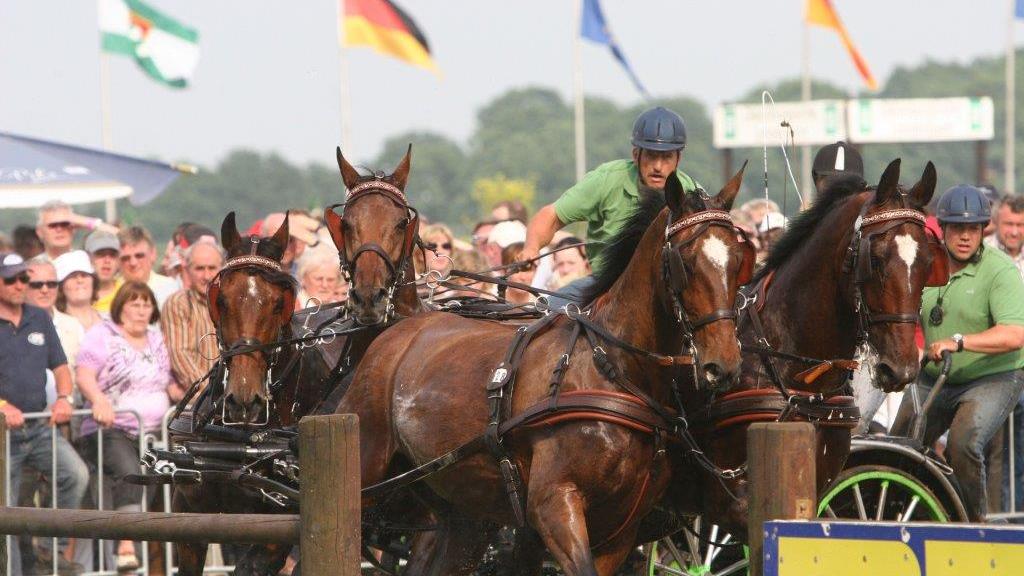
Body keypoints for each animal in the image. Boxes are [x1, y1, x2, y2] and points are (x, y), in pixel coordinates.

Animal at [344, 168, 753, 569]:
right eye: (686, 261)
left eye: (738, 261)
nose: (724, 364)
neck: (611, 369)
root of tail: (400, 327)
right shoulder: (553, 504)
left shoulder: (620, 530)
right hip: (365, 467)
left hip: (456, 506)